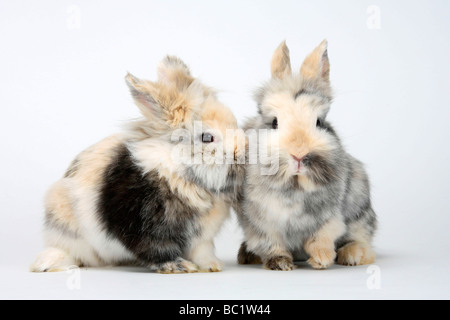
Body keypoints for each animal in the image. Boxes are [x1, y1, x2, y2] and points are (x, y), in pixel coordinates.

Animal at [30, 56, 246, 274]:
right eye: (207, 137)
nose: (244, 152)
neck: (181, 174)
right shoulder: (143, 227)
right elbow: (157, 249)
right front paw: (178, 266)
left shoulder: (202, 235)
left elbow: (202, 251)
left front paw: (212, 266)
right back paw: (47, 264)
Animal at [237, 40, 378, 270]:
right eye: (274, 122)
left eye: (319, 122)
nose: (299, 154)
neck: (295, 185)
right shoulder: (259, 223)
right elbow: (271, 243)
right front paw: (280, 263)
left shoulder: (330, 218)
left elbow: (321, 237)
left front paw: (322, 259)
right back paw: (248, 256)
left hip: (360, 206)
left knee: (361, 235)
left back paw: (353, 255)